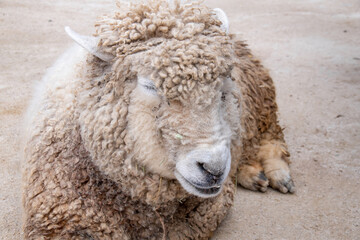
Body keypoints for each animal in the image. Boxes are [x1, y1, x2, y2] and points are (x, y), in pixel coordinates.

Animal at [22, 0, 296, 239]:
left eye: (223, 87)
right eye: (149, 85)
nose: (214, 169)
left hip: (260, 101)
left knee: (272, 135)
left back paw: (276, 173)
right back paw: (252, 174)